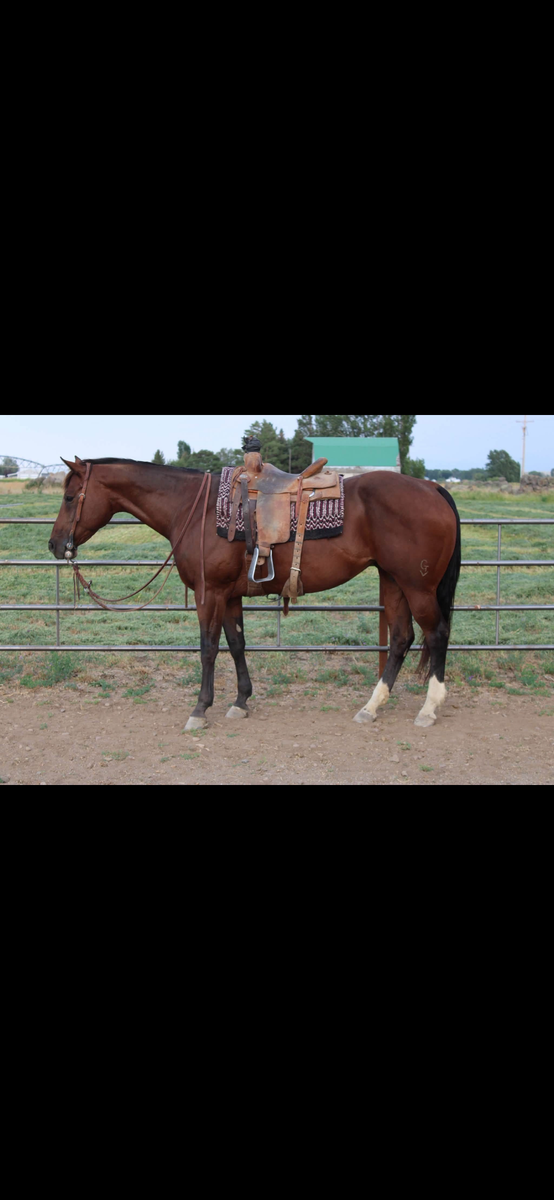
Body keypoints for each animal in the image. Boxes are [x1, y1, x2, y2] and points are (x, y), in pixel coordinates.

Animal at [48, 456, 461, 731]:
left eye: (69, 497)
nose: (54, 545)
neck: (194, 509)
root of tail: (432, 487)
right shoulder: (230, 596)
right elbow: (236, 644)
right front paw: (241, 701)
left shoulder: (209, 594)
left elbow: (209, 648)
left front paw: (200, 709)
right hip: (393, 581)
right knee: (401, 638)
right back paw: (371, 707)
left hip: (417, 587)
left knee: (436, 633)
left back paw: (428, 708)